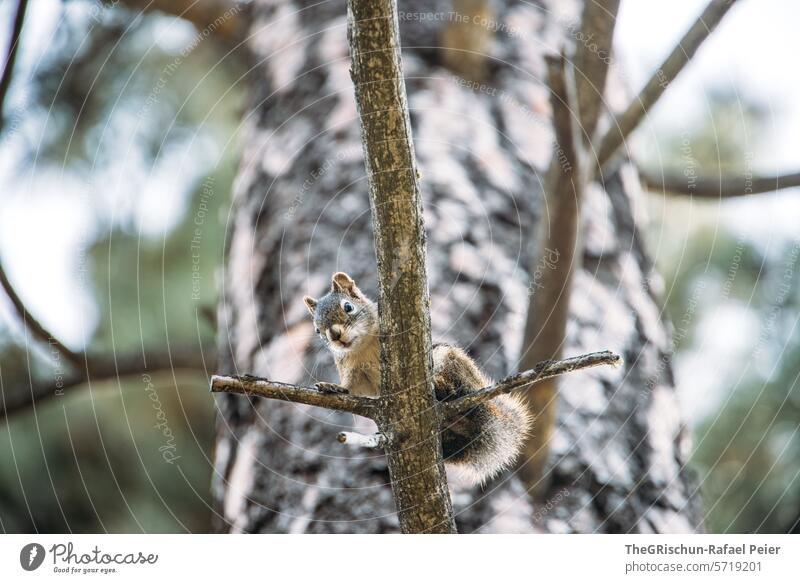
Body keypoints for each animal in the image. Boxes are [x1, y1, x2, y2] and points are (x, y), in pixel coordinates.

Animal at [302, 272, 532, 486]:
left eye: (348, 307)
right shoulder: (354, 370)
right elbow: (353, 387)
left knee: (459, 387)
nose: (334, 335)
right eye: (317, 329)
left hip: (450, 360)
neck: (362, 345)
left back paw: (441, 386)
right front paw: (334, 387)